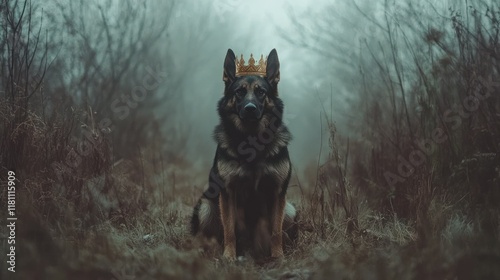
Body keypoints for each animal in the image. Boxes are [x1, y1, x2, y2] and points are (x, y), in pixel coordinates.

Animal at [188, 48, 296, 260]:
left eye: (261, 92)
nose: (250, 109)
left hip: (290, 209)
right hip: (206, 206)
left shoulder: (277, 193)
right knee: (208, 234)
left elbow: (276, 231)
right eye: (239, 92)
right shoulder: (228, 192)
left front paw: (278, 256)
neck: (252, 140)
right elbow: (229, 229)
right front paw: (229, 256)